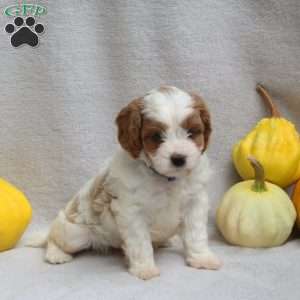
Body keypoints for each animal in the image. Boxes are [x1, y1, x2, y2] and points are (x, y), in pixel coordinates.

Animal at [31, 85, 221, 280]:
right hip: (74, 233)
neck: (165, 178)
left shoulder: (195, 202)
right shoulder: (131, 212)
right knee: (54, 238)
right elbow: (140, 244)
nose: (179, 159)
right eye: (156, 136)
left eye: (192, 133)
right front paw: (145, 269)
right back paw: (56, 254)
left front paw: (202, 258)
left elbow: (196, 235)